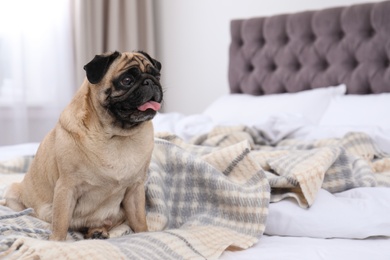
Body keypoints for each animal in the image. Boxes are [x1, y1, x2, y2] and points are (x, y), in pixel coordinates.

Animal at [2, 49, 163, 241]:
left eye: (157, 76)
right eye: (126, 80)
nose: (150, 81)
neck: (116, 135)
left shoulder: (135, 189)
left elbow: (139, 220)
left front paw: (144, 234)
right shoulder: (66, 187)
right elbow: (61, 222)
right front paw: (56, 242)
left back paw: (97, 231)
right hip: (12, 192)